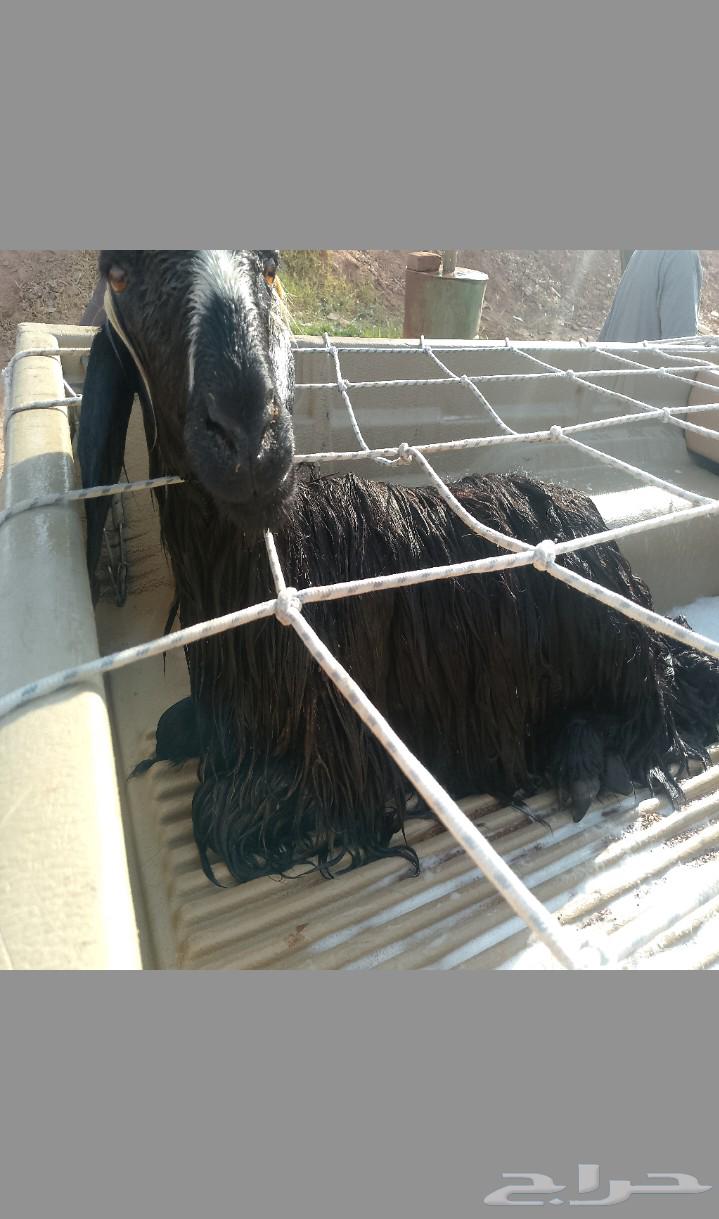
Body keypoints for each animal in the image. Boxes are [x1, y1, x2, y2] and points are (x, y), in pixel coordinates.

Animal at [77, 250, 719, 885]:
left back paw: (584, 762)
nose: (249, 439)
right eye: (119, 274)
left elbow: (230, 813)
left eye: (269, 266)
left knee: (648, 719)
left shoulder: (335, 766)